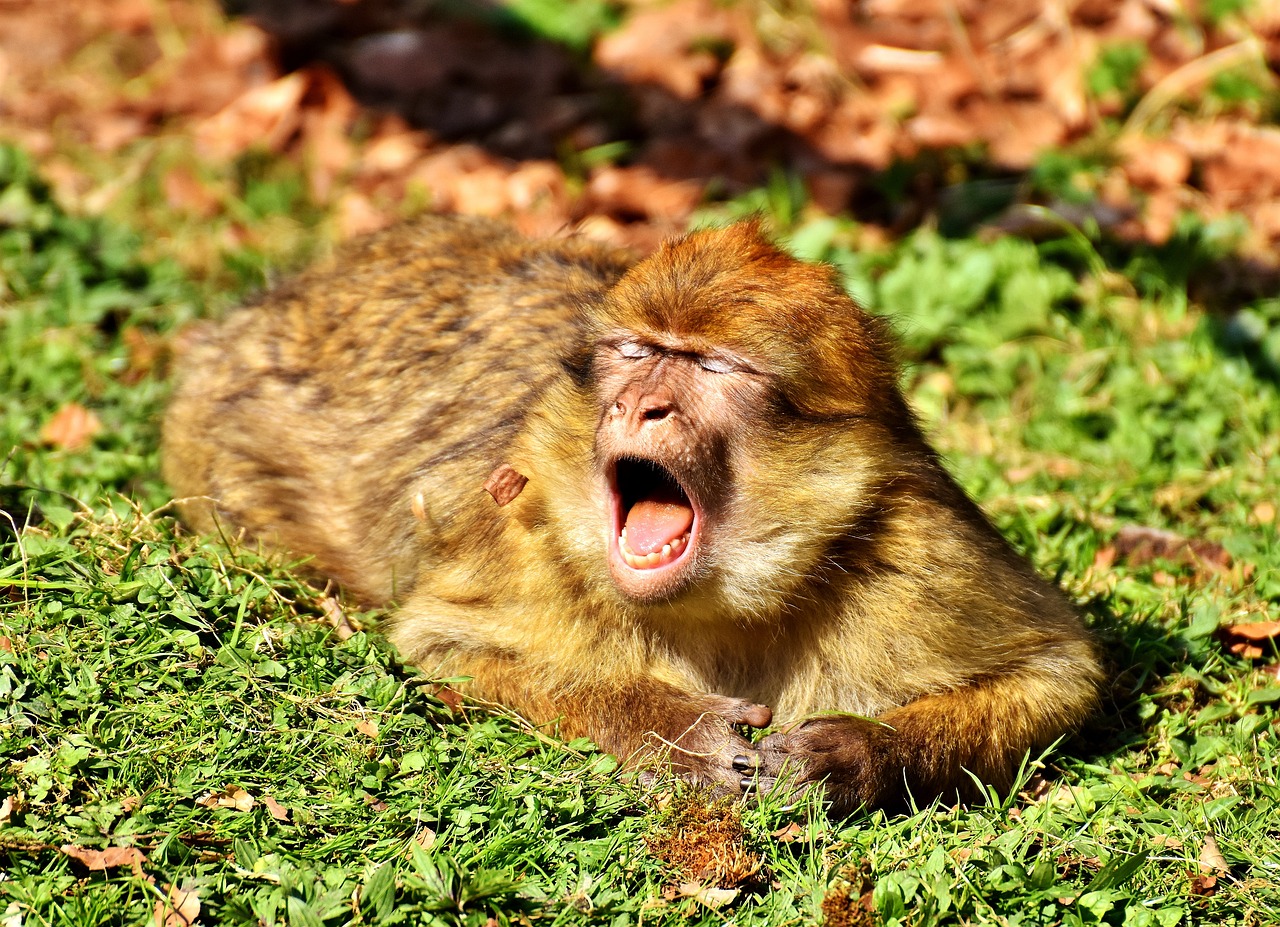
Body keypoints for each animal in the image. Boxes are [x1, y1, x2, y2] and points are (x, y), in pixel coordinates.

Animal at [162, 215, 1100, 809]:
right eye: (637, 351)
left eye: (713, 367)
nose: (640, 402)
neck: (727, 607)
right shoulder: (527, 533)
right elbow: (446, 641)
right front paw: (672, 728)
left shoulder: (917, 552)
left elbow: (1058, 671)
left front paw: (855, 753)